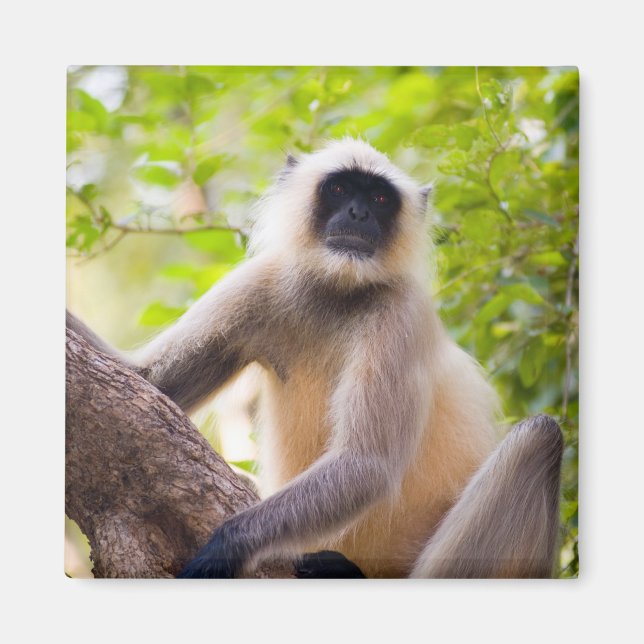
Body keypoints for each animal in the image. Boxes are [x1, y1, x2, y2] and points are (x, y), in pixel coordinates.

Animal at [67, 138, 563, 579]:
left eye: (379, 198)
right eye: (340, 190)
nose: (359, 213)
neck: (337, 290)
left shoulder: (402, 314)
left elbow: (367, 465)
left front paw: (225, 547)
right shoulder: (262, 279)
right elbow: (146, 382)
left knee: (541, 435)